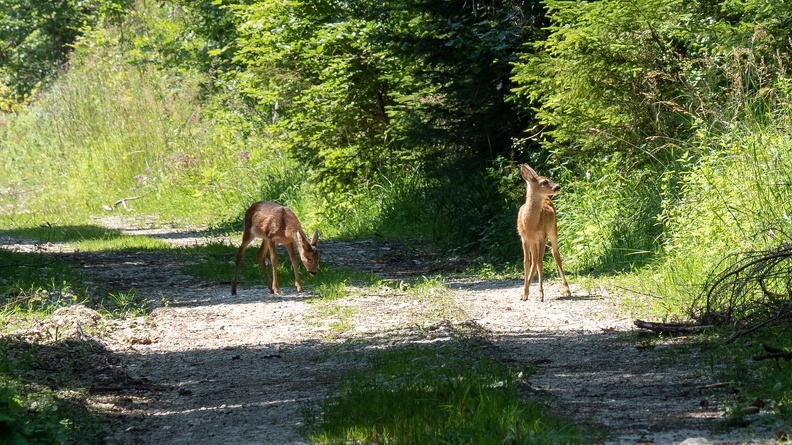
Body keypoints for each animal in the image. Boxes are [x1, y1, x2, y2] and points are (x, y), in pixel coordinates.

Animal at [520, 163, 568, 302]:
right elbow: (526, 262)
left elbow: (540, 263)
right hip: (533, 242)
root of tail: (546, 198)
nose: (558, 187)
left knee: (555, 254)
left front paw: (540, 294)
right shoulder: (524, 238)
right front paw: (524, 294)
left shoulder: (542, 236)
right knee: (534, 260)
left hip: (552, 230)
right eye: (544, 182)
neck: (529, 224)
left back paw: (567, 290)